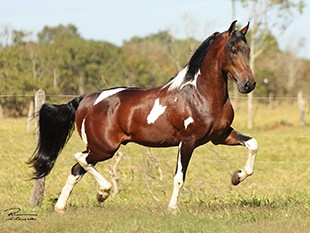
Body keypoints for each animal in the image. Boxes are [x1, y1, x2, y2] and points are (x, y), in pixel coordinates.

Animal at [29, 20, 258, 212]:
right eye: (233, 50)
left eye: (247, 50)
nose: (248, 84)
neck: (200, 95)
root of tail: (85, 99)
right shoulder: (188, 141)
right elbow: (179, 177)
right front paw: (172, 208)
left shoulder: (220, 136)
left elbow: (253, 144)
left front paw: (237, 176)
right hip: (104, 148)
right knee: (80, 159)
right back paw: (103, 192)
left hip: (99, 148)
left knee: (76, 168)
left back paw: (62, 206)